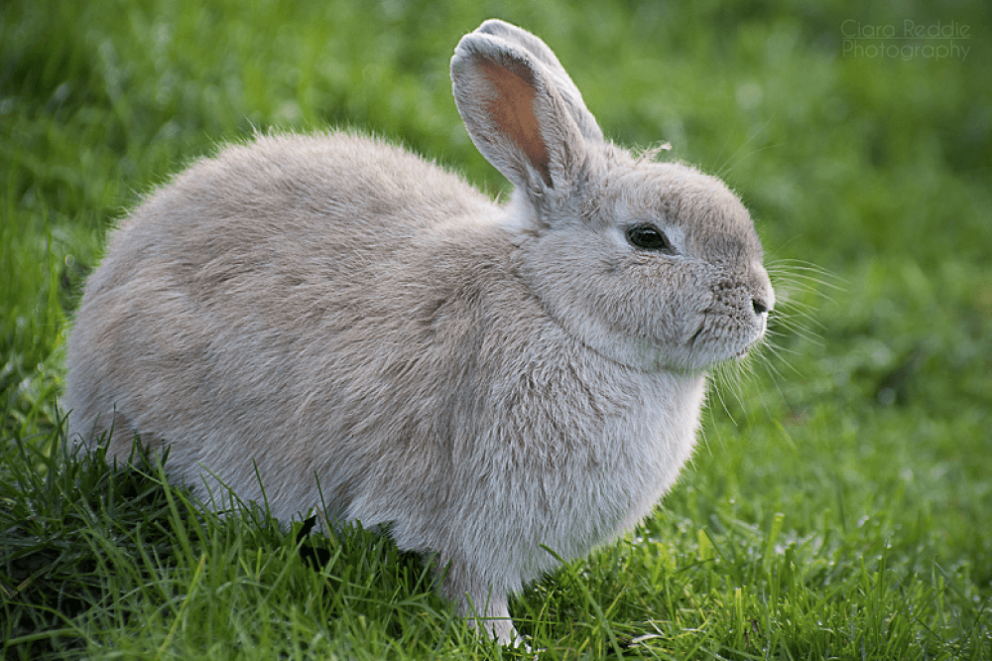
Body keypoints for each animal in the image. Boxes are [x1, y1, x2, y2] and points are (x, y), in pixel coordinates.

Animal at [64, 19, 774, 645]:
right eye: (648, 238)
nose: (761, 303)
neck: (552, 306)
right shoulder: (479, 529)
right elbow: (474, 593)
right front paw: (508, 645)